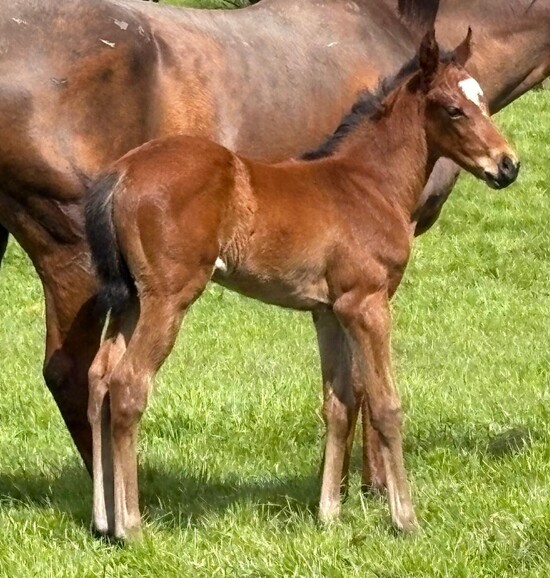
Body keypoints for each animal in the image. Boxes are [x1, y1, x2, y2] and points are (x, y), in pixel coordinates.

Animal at [84, 29, 519, 539]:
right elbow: (385, 405)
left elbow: (339, 402)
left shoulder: (328, 311)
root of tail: (122, 172)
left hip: (131, 298)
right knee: (129, 383)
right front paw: (405, 519)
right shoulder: (366, 304)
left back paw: (102, 519)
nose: (508, 165)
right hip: (168, 298)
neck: (368, 184)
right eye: (453, 109)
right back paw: (131, 527)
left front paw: (328, 513)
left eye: (484, 102)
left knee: (99, 379)